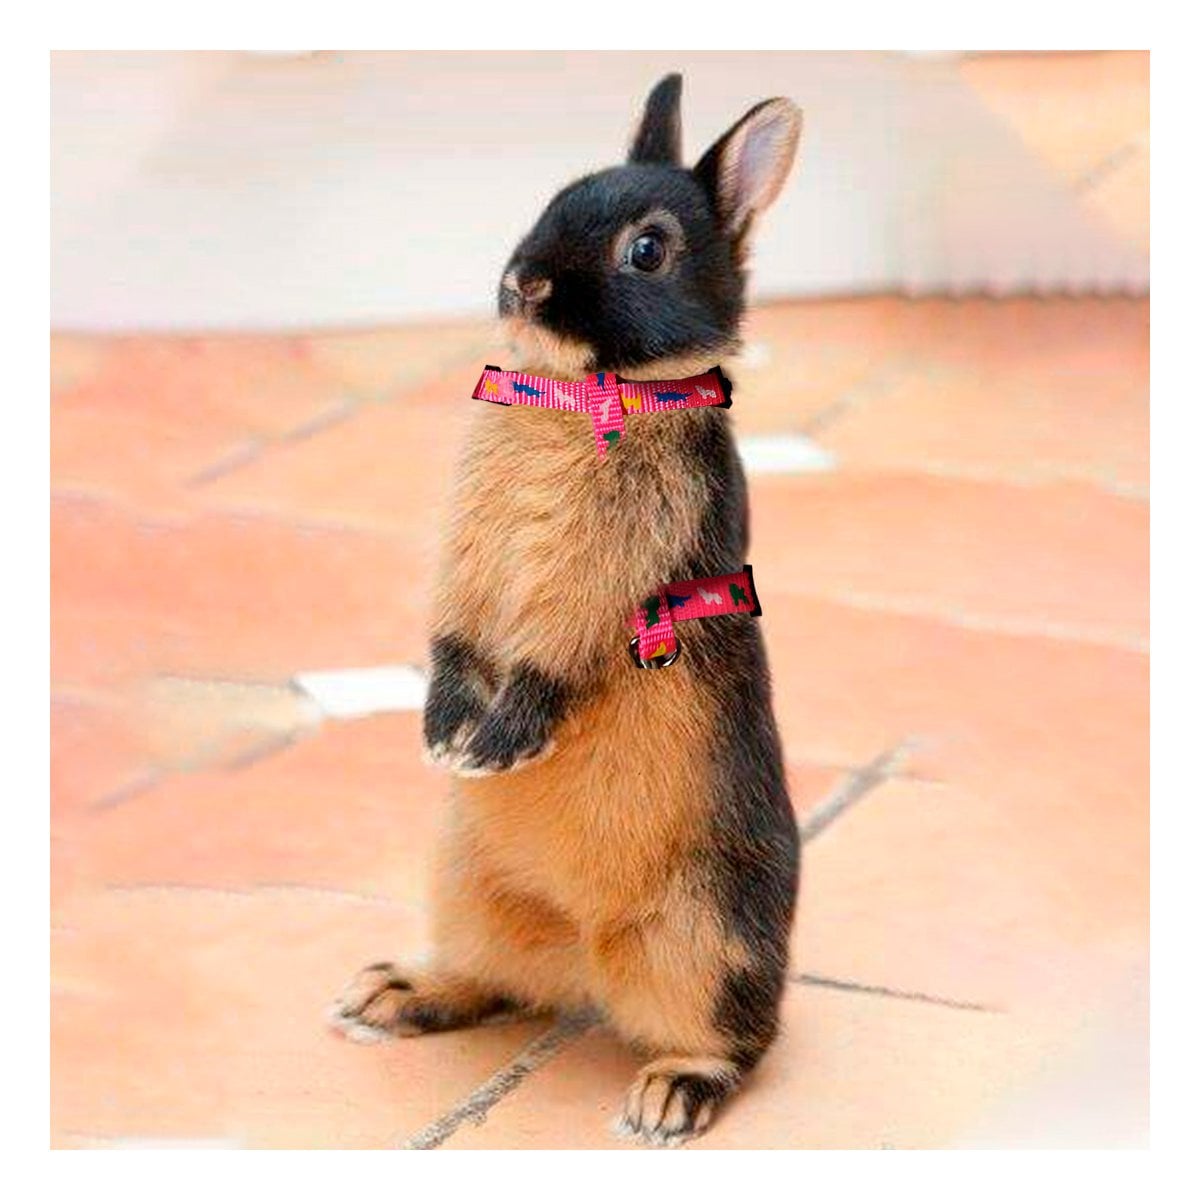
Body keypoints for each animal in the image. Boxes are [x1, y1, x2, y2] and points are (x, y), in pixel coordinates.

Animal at [331, 73, 803, 1147]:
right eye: (556, 194)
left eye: (648, 249)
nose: (523, 285)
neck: (583, 395)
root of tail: (587, 957)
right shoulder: (466, 561)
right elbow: (456, 637)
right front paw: (446, 736)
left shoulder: (603, 579)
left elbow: (553, 650)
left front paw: (492, 746)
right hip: (469, 886)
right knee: (492, 981)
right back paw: (391, 993)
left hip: (711, 934)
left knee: (736, 1040)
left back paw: (667, 1101)